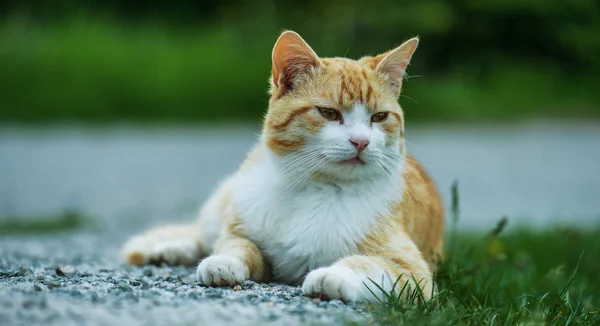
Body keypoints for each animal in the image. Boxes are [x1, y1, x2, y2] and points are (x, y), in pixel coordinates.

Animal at [122, 30, 442, 304]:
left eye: (379, 117)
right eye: (329, 113)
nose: (361, 141)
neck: (315, 187)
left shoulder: (414, 273)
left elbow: (368, 265)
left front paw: (333, 275)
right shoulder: (242, 232)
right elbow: (238, 245)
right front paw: (224, 262)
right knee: (202, 236)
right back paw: (169, 250)